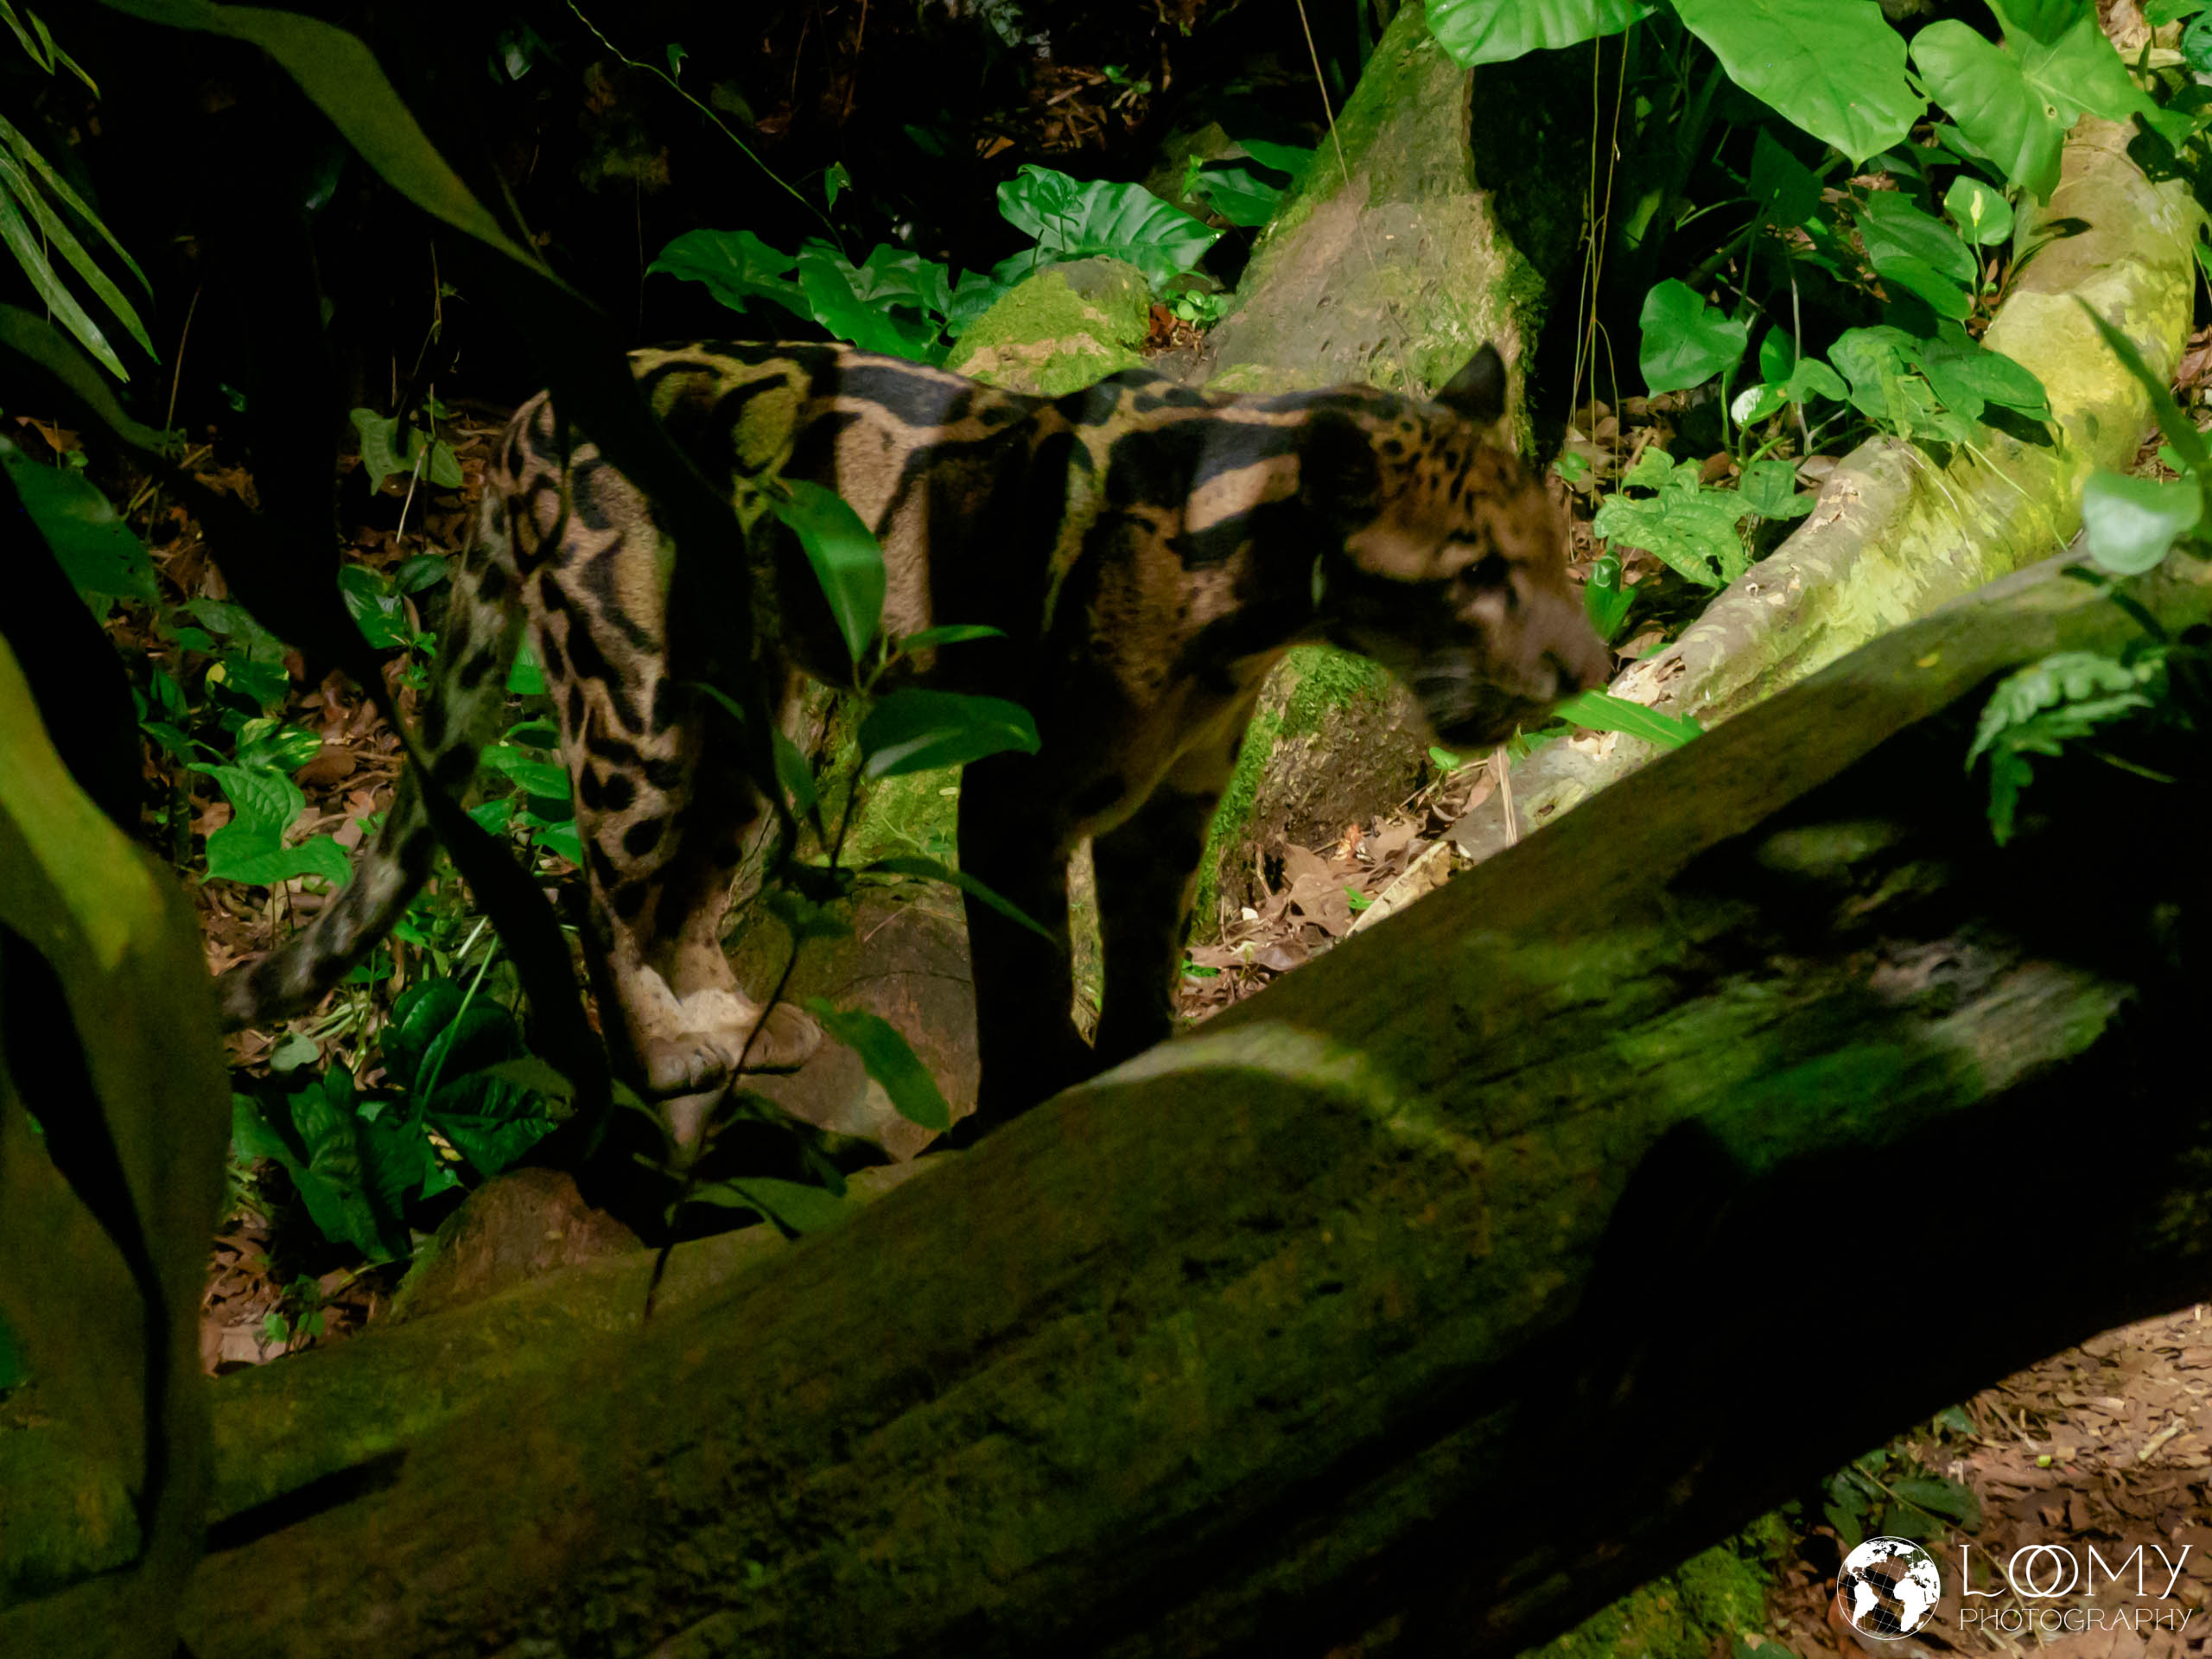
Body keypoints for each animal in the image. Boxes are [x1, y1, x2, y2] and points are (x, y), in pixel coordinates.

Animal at [219, 340, 1611, 1141]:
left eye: (1548, 544)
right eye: (1475, 575)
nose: (1591, 669)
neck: (1260, 606)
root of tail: (524, 416)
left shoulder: (1169, 804)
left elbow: (1141, 947)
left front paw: (1146, 1052)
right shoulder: (1015, 793)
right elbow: (1027, 970)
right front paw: (1037, 1089)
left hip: (751, 710)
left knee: (689, 885)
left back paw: (737, 1022)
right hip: (637, 695)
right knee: (595, 889)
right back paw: (666, 1054)